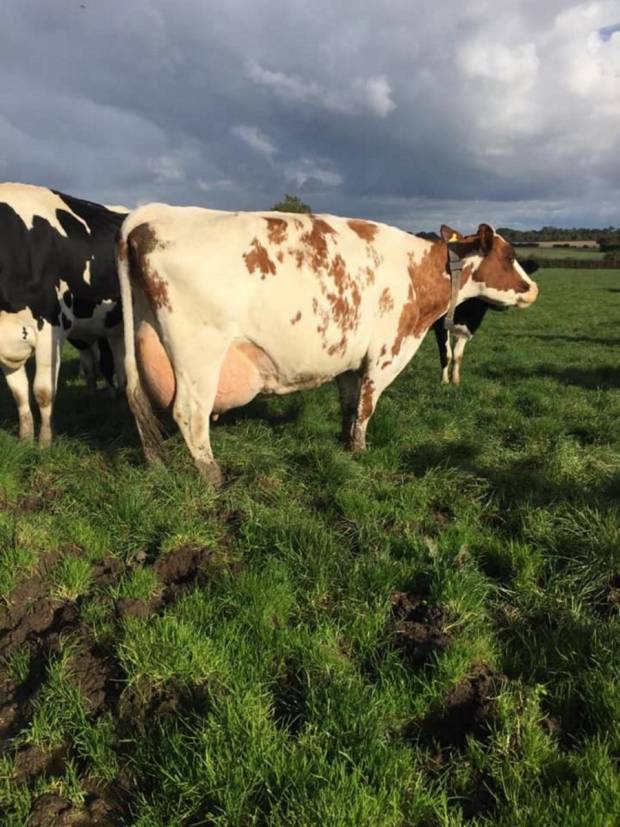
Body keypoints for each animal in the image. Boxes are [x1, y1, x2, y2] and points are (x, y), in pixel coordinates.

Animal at [0, 184, 127, 446]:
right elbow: (19, 394)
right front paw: (25, 439)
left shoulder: (49, 328)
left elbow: (43, 391)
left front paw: (44, 442)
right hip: (113, 326)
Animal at [116, 205, 536, 486]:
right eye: (510, 256)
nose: (534, 289)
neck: (418, 274)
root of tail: (157, 213)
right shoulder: (386, 353)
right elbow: (367, 406)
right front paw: (361, 450)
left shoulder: (350, 360)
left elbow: (349, 404)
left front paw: (345, 443)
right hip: (199, 353)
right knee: (190, 413)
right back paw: (214, 476)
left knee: (142, 406)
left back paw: (157, 462)